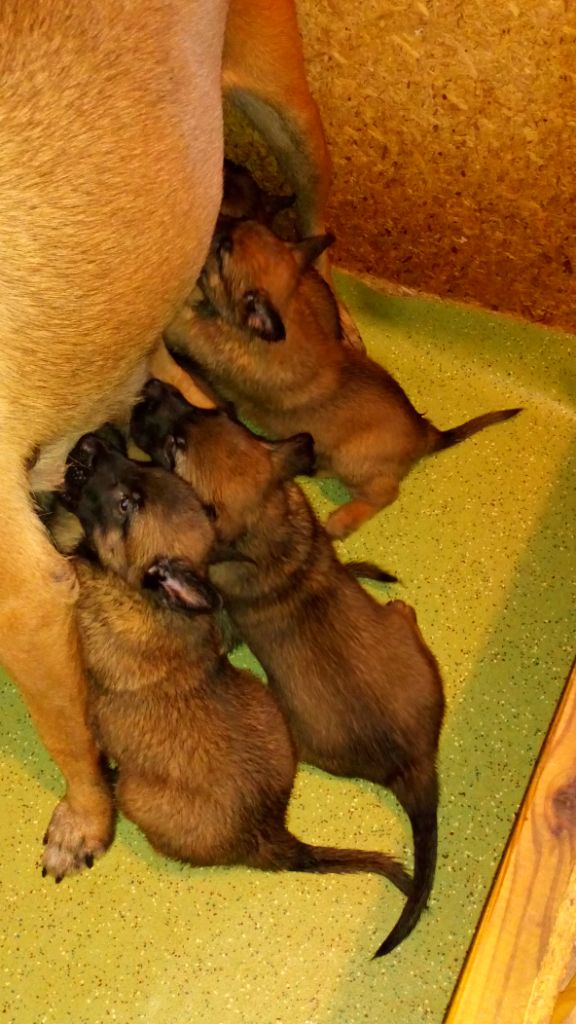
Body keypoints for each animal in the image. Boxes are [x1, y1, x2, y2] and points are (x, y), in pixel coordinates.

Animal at [59, 432, 412, 943]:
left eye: (126, 504)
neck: (144, 594)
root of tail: (271, 834)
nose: (89, 440)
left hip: (135, 793)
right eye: (143, 465)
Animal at [164, 218, 521, 538]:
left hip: (353, 458)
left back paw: (344, 519)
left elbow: (183, 322)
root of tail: (426, 433)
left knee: (386, 493)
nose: (217, 219)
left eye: (223, 249)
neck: (286, 312)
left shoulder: (202, 339)